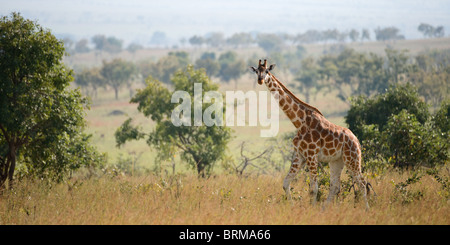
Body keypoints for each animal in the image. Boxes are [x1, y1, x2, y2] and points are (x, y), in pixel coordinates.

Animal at [251, 59, 370, 209]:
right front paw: (293, 207)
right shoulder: (300, 155)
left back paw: (367, 209)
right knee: (335, 186)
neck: (300, 122)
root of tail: (357, 141)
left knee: (362, 183)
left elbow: (313, 188)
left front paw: (311, 209)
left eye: (267, 70)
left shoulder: (311, 155)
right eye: (257, 71)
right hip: (337, 161)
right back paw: (324, 209)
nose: (260, 80)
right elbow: (286, 183)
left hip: (352, 158)